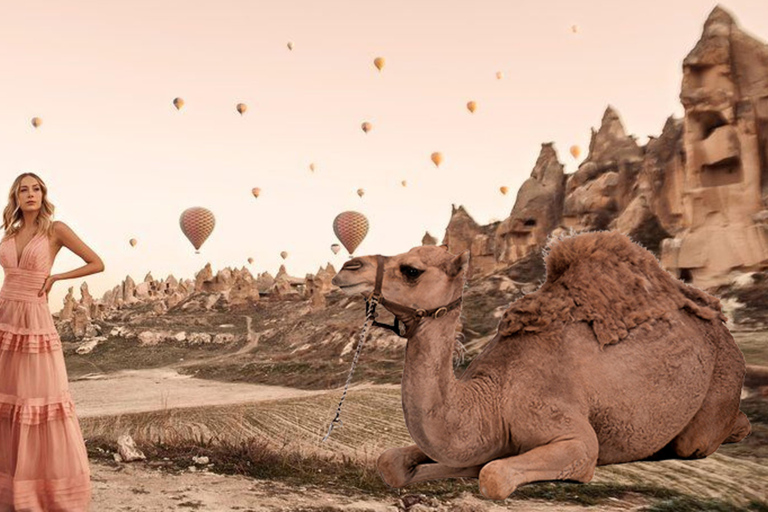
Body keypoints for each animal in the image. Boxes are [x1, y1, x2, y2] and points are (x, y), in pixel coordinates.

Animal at [330, 231, 752, 500]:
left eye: (411, 270)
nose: (348, 268)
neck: (492, 398)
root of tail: (722, 327)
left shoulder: (575, 437)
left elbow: (493, 474)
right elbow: (391, 463)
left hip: (721, 381)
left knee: (699, 439)